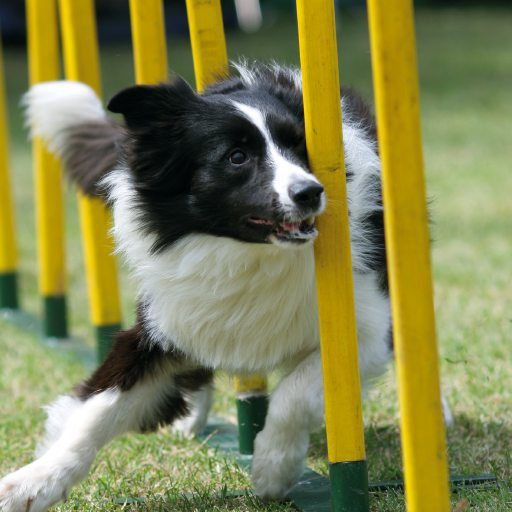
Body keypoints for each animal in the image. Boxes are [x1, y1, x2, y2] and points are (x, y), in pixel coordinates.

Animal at [0, 62, 444, 510]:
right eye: (236, 157)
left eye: (299, 145)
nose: (310, 192)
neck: (244, 252)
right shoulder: (162, 323)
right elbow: (96, 410)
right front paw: (31, 483)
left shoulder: (362, 327)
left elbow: (296, 393)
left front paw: (273, 468)